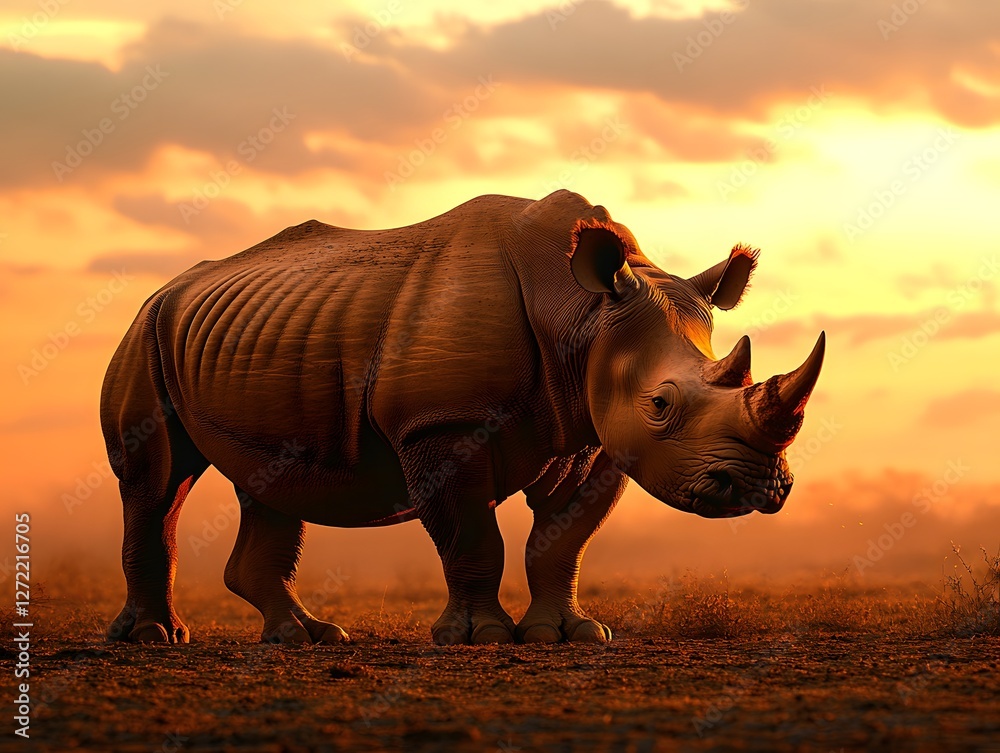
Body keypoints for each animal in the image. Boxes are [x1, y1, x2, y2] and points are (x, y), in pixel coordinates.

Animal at [101, 189, 824, 646]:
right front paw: (482, 637)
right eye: (661, 404)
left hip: (255, 336)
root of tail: (169, 286)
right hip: (145, 331)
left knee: (270, 481)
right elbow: (472, 537)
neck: (581, 316)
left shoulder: (593, 435)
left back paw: (304, 638)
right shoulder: (440, 425)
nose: (760, 488)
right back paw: (155, 637)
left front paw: (568, 634)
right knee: (156, 484)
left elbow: (562, 540)